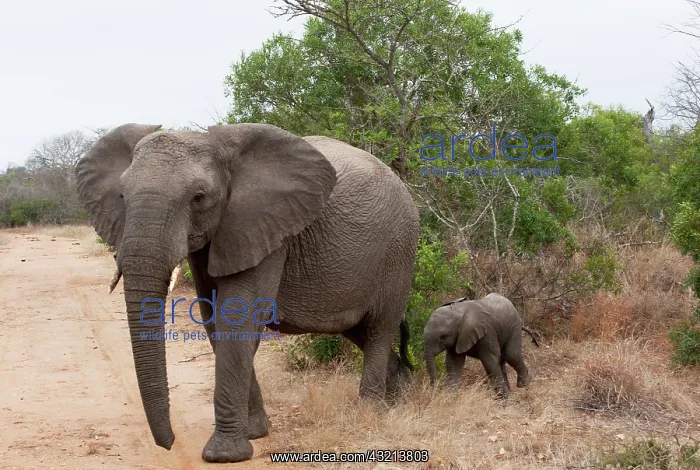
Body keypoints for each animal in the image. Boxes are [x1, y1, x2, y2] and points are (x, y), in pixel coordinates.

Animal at [75, 123, 420, 463]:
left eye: (198, 197)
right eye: (122, 195)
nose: (169, 444)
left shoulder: (265, 228)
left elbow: (236, 316)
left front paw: (224, 454)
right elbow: (213, 317)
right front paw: (254, 433)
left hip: (399, 253)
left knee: (379, 328)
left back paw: (370, 412)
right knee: (358, 330)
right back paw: (400, 396)